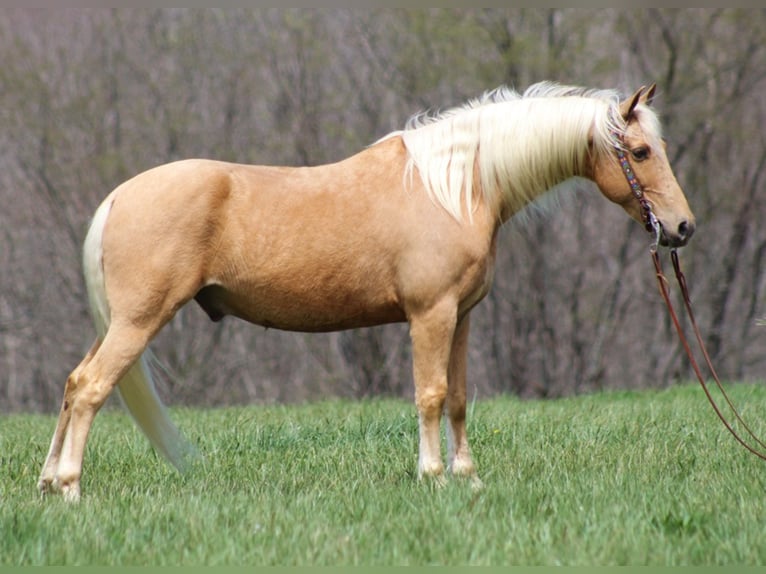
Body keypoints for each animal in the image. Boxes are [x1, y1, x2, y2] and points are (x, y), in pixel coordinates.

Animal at [39, 83, 696, 502]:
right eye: (641, 152)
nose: (682, 227)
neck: (454, 188)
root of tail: (120, 195)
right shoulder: (430, 314)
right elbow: (430, 395)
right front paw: (433, 476)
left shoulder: (462, 317)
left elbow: (459, 398)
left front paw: (468, 477)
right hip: (138, 321)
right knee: (92, 388)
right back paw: (71, 489)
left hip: (118, 323)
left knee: (73, 383)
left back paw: (47, 483)